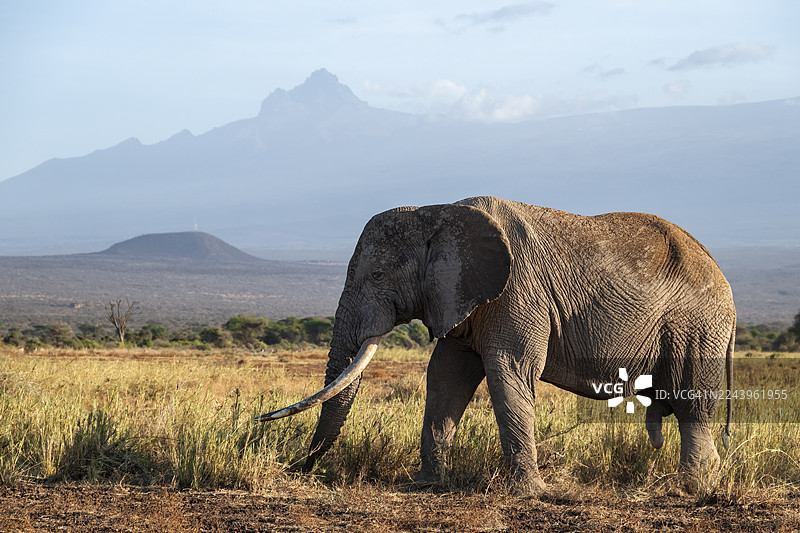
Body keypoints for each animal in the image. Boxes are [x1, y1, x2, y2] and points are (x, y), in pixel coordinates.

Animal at [258, 196, 735, 495]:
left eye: (376, 275)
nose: (297, 469)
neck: (436, 213)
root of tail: (722, 275)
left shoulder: (516, 291)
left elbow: (510, 371)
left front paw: (528, 493)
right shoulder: (461, 297)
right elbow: (446, 377)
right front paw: (425, 485)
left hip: (696, 324)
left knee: (691, 401)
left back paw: (691, 488)